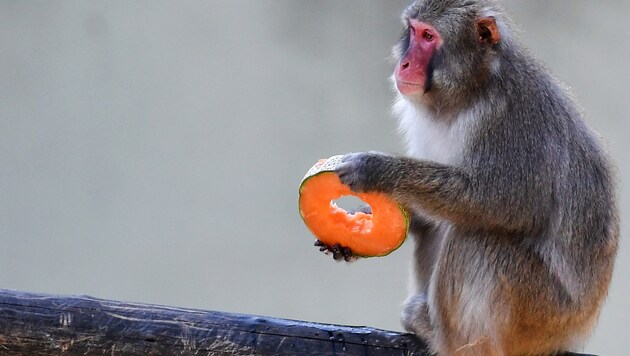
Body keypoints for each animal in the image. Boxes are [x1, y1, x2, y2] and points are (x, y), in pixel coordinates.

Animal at [318, 0, 620, 356]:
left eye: (429, 37)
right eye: (413, 31)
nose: (404, 64)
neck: (470, 91)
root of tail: (573, 331)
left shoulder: (506, 119)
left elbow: (500, 203)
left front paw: (376, 169)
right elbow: (428, 217)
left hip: (541, 313)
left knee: (476, 238)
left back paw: (444, 337)